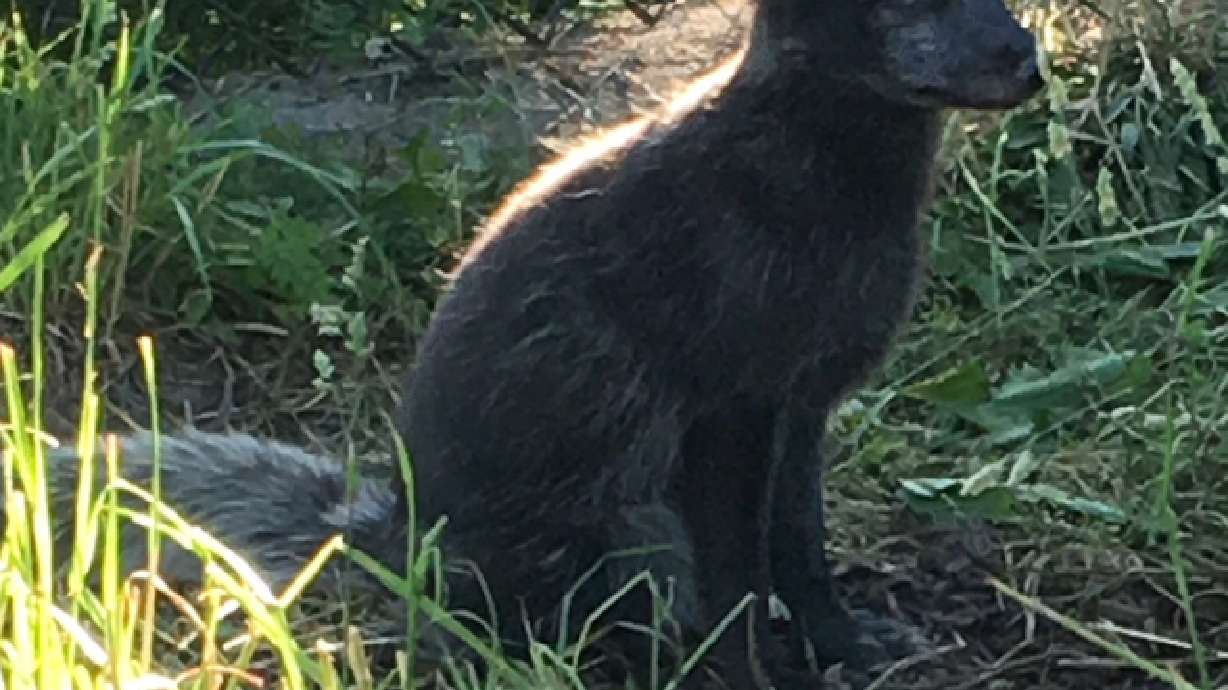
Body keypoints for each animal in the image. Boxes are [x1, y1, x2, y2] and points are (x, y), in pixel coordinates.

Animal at [6, 0, 1043, 686]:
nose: (1030, 58)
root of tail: (399, 536)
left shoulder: (804, 409)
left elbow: (801, 549)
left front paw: (846, 645)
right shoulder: (733, 416)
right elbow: (742, 581)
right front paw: (767, 676)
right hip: (635, 531)